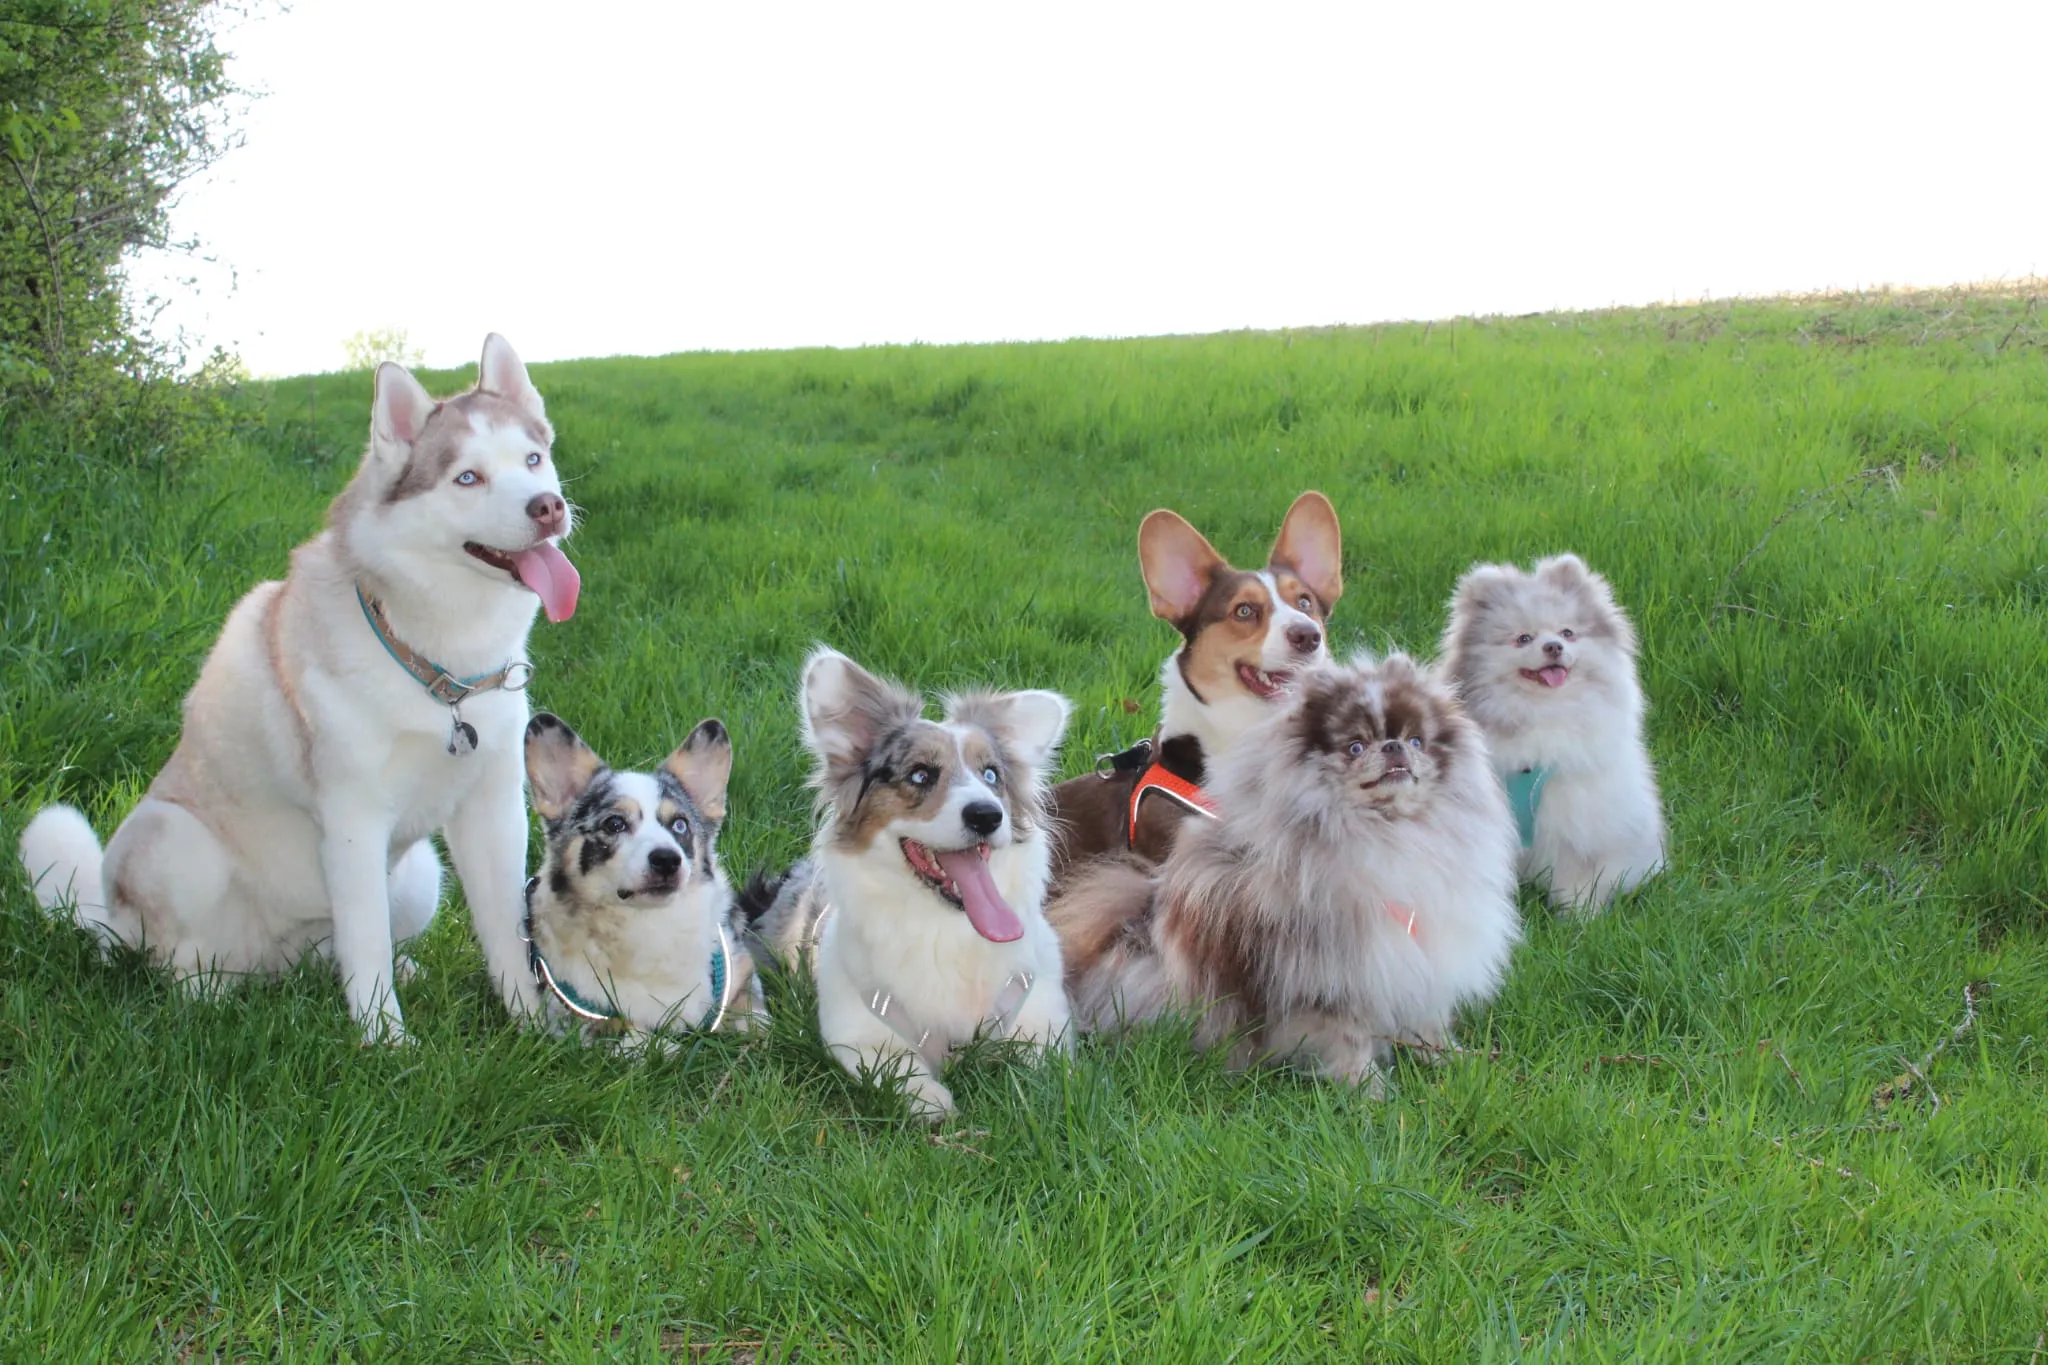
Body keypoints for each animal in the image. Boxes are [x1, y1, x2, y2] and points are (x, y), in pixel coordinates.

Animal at [22, 335, 585, 1039]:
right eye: (467, 477)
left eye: (533, 459)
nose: (547, 506)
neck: (440, 670)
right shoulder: (352, 816)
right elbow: (366, 944)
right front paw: (386, 1043)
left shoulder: (492, 807)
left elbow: (508, 932)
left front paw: (533, 1028)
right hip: (169, 840)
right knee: (181, 965)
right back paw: (208, 997)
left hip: (419, 875)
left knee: (338, 952)